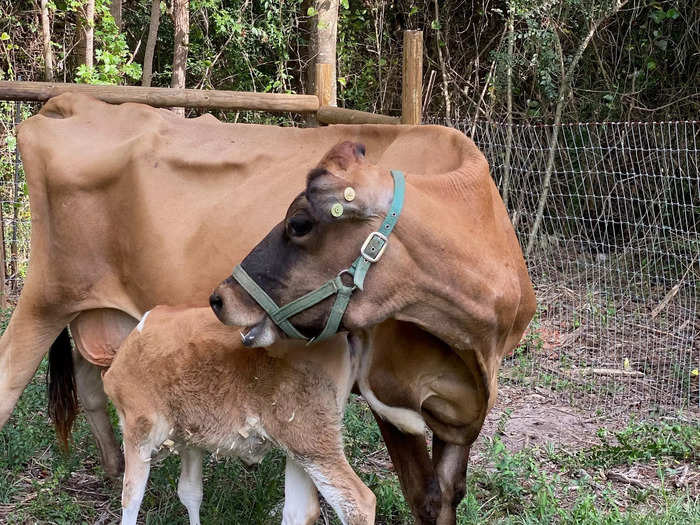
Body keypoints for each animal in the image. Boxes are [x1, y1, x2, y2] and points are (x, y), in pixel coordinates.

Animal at [102, 308, 374, 524]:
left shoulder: (138, 429)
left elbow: (131, 497)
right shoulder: (190, 437)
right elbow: (190, 491)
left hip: (312, 440)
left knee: (359, 503)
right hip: (301, 446)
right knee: (299, 510)